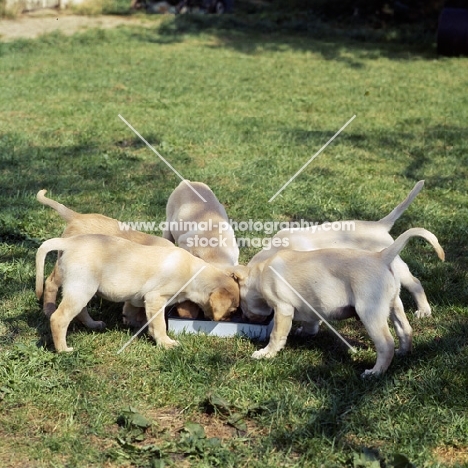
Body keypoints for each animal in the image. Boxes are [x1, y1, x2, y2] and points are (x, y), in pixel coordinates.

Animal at [36, 234, 239, 352]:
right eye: (232, 311)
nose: (228, 320)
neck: (194, 273)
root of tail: (69, 242)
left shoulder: (139, 299)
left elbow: (134, 312)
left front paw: (135, 324)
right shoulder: (156, 298)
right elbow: (159, 324)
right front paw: (166, 343)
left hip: (83, 288)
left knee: (80, 311)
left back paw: (94, 324)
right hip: (81, 287)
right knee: (59, 318)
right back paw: (63, 350)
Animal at [243, 229, 444, 378]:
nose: (246, 317)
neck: (261, 269)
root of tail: (381, 256)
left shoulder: (283, 308)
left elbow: (276, 335)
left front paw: (266, 353)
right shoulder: (310, 306)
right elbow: (310, 322)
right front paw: (304, 332)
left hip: (370, 313)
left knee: (386, 345)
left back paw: (375, 373)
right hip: (394, 305)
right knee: (405, 330)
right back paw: (403, 352)